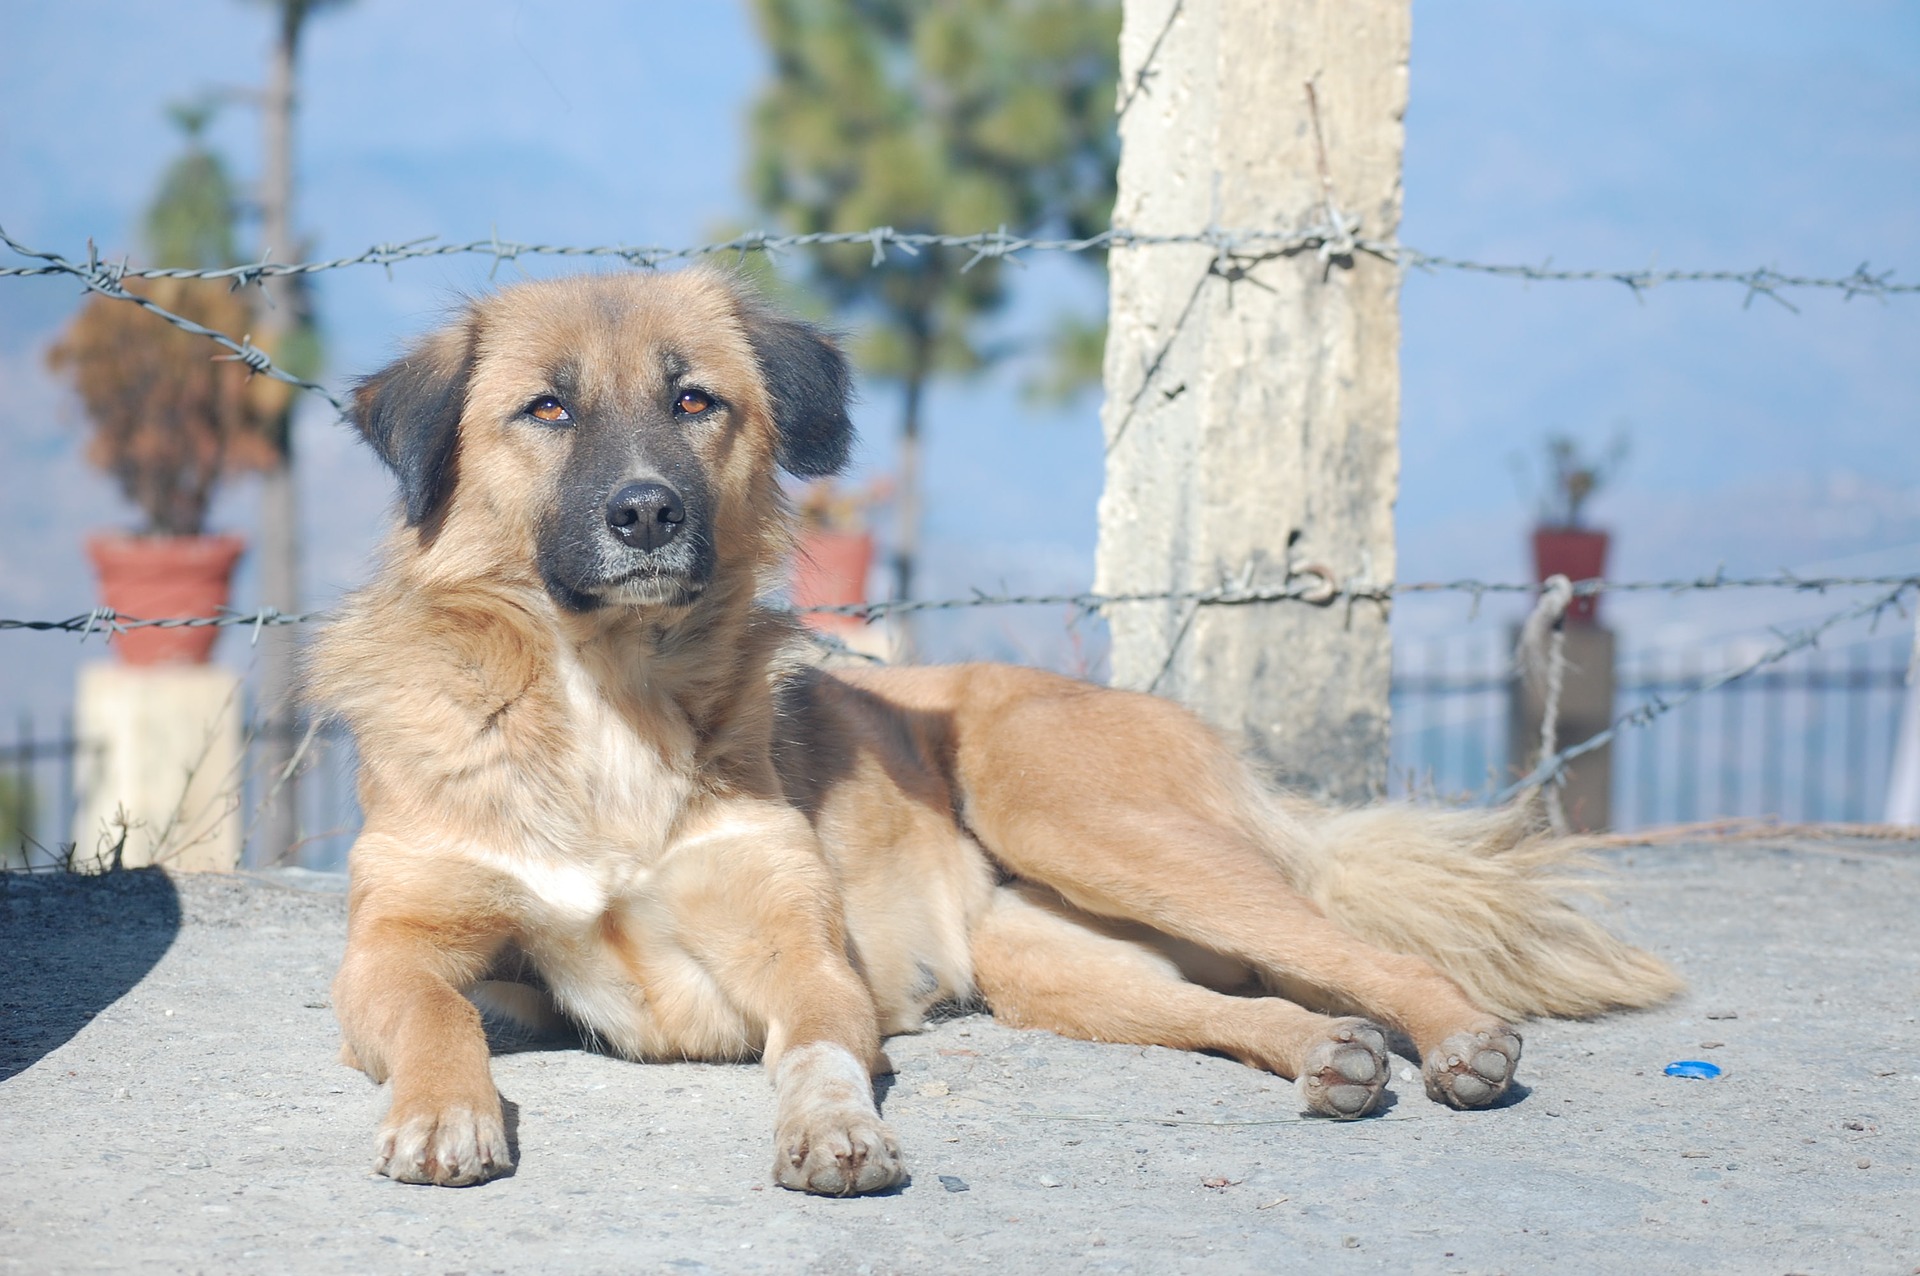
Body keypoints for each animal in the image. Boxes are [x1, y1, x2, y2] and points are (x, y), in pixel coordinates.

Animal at [311, 270, 1666, 1197]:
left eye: (695, 399)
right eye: (546, 410)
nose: (646, 513)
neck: (606, 702)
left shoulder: (803, 956)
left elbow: (816, 1050)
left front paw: (836, 1128)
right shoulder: (397, 951)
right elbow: (439, 1014)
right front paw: (444, 1112)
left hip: (1071, 815)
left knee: (1357, 948)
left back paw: (1457, 1037)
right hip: (1053, 962)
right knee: (1242, 1004)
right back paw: (1327, 1054)